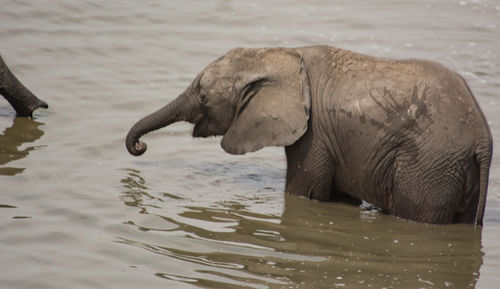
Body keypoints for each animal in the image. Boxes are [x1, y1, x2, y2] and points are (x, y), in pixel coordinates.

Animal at [125, 45, 492, 225]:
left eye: (202, 96)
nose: (140, 146)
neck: (275, 54)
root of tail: (483, 140)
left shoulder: (315, 133)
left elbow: (305, 192)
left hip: (430, 167)